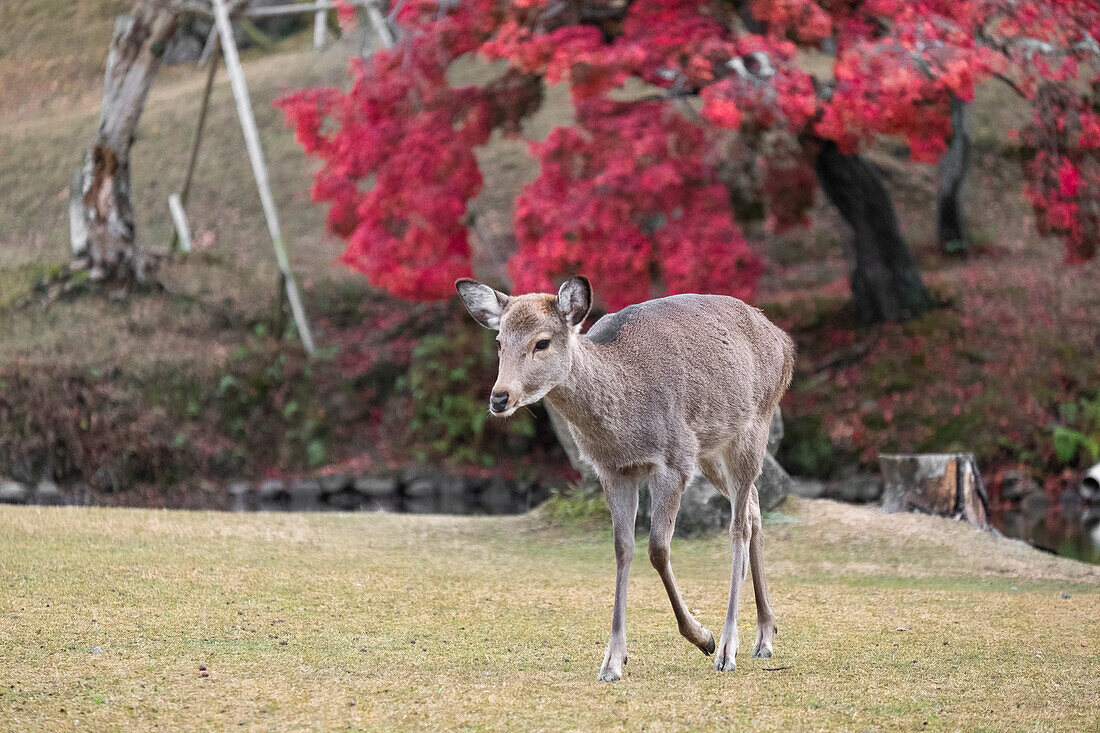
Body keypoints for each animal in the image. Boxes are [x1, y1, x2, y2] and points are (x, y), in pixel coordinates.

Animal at [455, 274, 792, 677]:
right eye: (499, 341)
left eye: (542, 341)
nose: (499, 397)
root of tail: (783, 342)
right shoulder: (613, 470)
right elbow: (622, 548)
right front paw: (613, 660)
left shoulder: (674, 459)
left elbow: (658, 549)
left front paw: (702, 637)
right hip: (712, 450)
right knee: (754, 506)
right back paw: (765, 636)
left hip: (754, 426)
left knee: (738, 525)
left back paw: (728, 648)